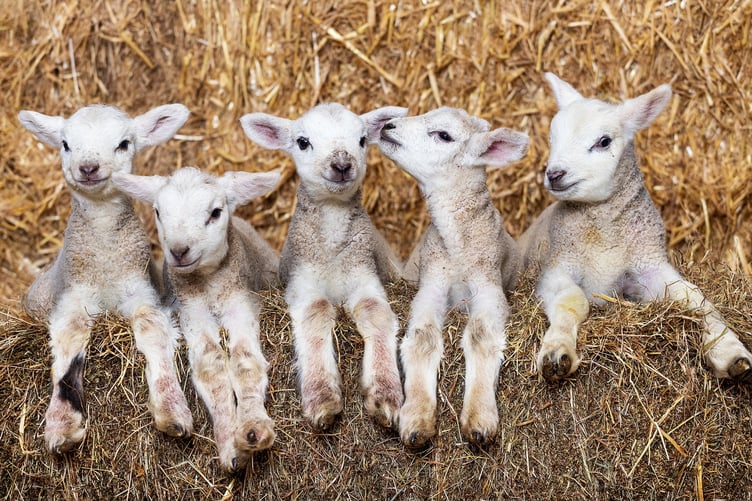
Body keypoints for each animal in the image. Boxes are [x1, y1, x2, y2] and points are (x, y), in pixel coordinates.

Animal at [17, 104, 194, 454]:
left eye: (124, 144)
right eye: (65, 144)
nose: (88, 167)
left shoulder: (141, 290)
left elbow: (152, 328)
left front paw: (171, 408)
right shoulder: (74, 295)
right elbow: (71, 338)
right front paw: (62, 423)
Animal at [111, 166, 281, 472]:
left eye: (215, 212)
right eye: (157, 211)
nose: (179, 251)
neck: (209, 283)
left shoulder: (240, 302)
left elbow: (245, 361)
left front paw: (253, 428)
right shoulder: (192, 310)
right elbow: (210, 366)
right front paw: (230, 446)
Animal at [240, 103, 407, 431]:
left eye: (362, 140)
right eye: (303, 142)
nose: (342, 164)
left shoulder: (364, 273)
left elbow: (375, 311)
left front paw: (385, 391)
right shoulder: (302, 281)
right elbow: (316, 310)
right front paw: (322, 396)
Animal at [376, 106, 528, 448]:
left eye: (443, 135)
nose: (387, 126)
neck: (458, 249)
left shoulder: (489, 287)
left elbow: (481, 335)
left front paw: (479, 417)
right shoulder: (431, 286)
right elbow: (422, 338)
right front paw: (416, 417)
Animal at [519, 72, 752, 383]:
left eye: (603, 141)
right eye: (552, 139)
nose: (554, 174)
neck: (603, 232)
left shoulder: (650, 266)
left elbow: (697, 299)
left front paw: (730, 350)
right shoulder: (556, 269)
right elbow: (573, 300)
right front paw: (558, 352)